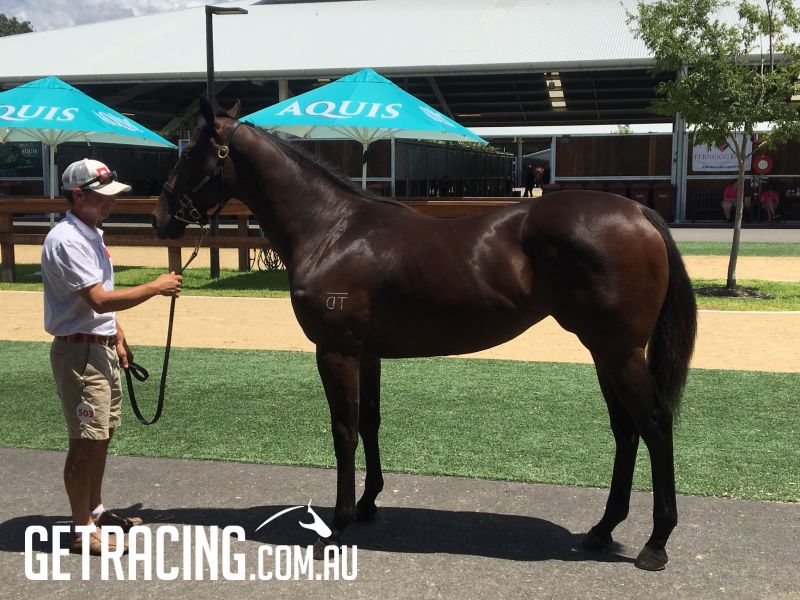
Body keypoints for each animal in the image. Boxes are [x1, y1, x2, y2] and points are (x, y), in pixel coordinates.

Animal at [152, 98, 697, 571]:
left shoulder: (335, 352)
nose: (160, 220)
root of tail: (640, 213)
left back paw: (655, 543)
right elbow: (369, 422)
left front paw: (339, 525)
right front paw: (369, 503)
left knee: (654, 424)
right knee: (626, 430)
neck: (332, 230)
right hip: (605, 351)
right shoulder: (366, 354)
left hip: (619, 352)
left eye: (189, 151)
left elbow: (343, 430)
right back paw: (603, 530)